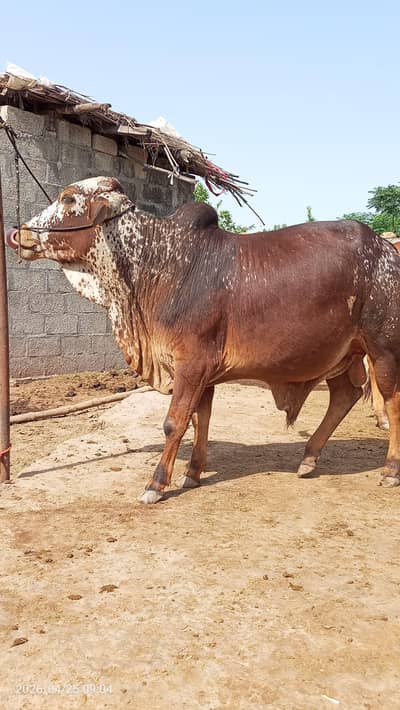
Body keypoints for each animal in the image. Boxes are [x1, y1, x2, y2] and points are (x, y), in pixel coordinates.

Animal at [6, 176, 400, 503]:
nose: (19, 233)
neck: (158, 264)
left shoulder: (192, 364)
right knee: (345, 396)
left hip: (383, 348)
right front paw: (192, 473)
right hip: (345, 353)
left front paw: (156, 484)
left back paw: (390, 470)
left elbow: (174, 422)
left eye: (68, 198)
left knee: (391, 401)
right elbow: (201, 419)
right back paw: (308, 458)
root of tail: (386, 249)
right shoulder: (203, 372)